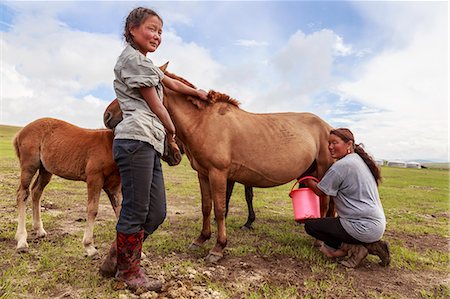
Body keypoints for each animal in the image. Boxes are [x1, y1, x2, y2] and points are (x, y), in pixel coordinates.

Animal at [13, 117, 181, 258]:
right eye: (163, 133)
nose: (177, 156)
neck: (110, 146)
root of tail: (20, 133)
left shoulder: (114, 187)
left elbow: (120, 212)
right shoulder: (94, 180)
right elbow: (92, 210)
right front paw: (89, 247)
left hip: (46, 170)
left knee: (36, 191)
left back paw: (39, 230)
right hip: (29, 166)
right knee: (22, 194)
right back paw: (21, 240)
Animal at [103, 67, 332, 264]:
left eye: (135, 88)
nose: (107, 116)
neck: (203, 121)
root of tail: (328, 127)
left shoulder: (219, 174)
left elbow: (220, 209)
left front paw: (218, 248)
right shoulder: (203, 174)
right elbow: (206, 207)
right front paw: (201, 239)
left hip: (322, 172)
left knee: (325, 203)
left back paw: (320, 240)